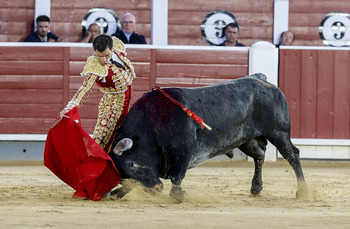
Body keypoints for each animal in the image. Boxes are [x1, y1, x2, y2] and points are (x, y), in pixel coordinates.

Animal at [108, 74, 308, 201]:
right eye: (122, 175)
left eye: (132, 164)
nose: (156, 188)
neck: (154, 121)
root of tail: (263, 81)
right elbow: (133, 185)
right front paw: (114, 193)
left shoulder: (184, 151)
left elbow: (176, 179)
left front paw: (181, 195)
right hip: (244, 139)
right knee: (259, 155)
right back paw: (256, 188)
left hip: (278, 133)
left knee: (292, 155)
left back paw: (302, 192)